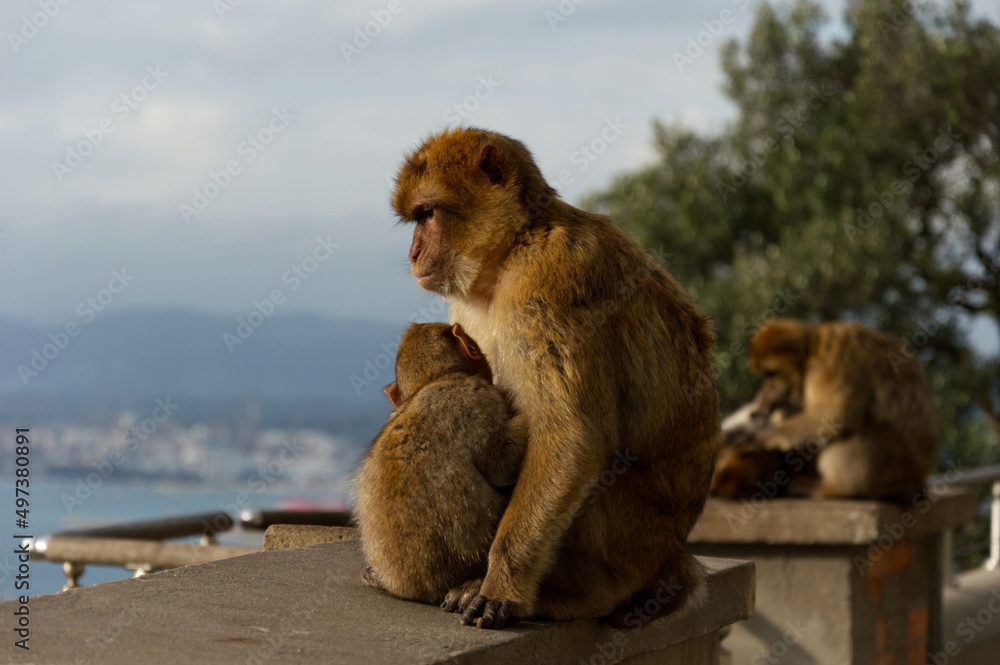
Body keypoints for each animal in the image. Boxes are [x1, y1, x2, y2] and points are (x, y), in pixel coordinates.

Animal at [391, 128, 720, 629]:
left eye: (428, 214)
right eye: (416, 218)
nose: (413, 252)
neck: (514, 247)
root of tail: (670, 552)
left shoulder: (555, 278)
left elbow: (569, 435)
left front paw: (501, 587)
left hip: (633, 542)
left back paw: (568, 597)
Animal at [726, 319, 940, 501]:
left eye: (771, 373)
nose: (769, 388)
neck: (813, 350)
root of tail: (914, 484)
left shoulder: (831, 365)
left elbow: (832, 416)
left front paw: (760, 437)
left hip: (889, 472)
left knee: (856, 430)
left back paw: (835, 488)